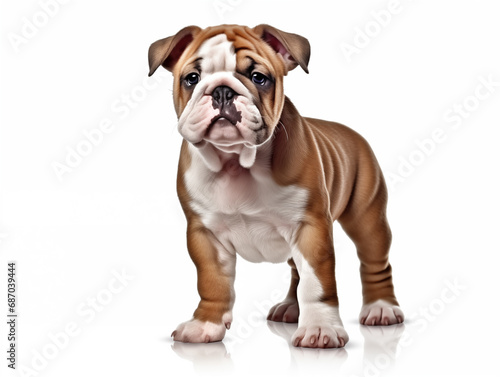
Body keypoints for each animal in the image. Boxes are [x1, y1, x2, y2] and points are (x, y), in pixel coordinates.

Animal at [147, 22, 402, 346]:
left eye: (259, 78)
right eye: (192, 78)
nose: (222, 91)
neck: (237, 162)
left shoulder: (311, 228)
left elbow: (317, 284)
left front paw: (321, 328)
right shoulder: (205, 235)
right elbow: (212, 281)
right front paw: (205, 325)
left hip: (367, 220)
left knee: (375, 261)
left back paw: (381, 308)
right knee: (295, 273)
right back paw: (291, 308)